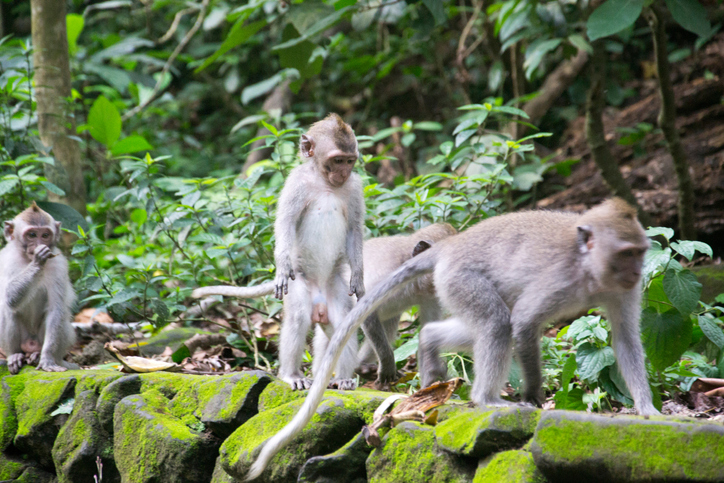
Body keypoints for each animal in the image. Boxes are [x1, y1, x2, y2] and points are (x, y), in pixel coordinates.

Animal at [0, 202, 76, 376]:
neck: (26, 259)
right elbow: (9, 297)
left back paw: (37, 355)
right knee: (6, 309)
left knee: (61, 317)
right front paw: (37, 262)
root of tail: (30, 343)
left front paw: (47, 358)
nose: (39, 244)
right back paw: (14, 355)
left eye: (45, 235)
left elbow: (56, 310)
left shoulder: (58, 265)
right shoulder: (6, 260)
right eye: (32, 234)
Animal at [189, 224, 456, 390]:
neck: (414, 281)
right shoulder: (387, 274)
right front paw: (388, 366)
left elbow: (428, 331)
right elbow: (364, 312)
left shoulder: (430, 294)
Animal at [249, 198, 660, 480]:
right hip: (462, 276)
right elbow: (525, 322)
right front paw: (533, 397)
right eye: (627, 252)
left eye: (640, 252)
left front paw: (647, 409)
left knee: (475, 324)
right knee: (498, 323)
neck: (589, 269)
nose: (638, 271)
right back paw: (486, 399)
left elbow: (626, 340)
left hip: (452, 283)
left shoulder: (621, 291)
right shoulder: (558, 277)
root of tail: (452, 247)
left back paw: (431, 355)